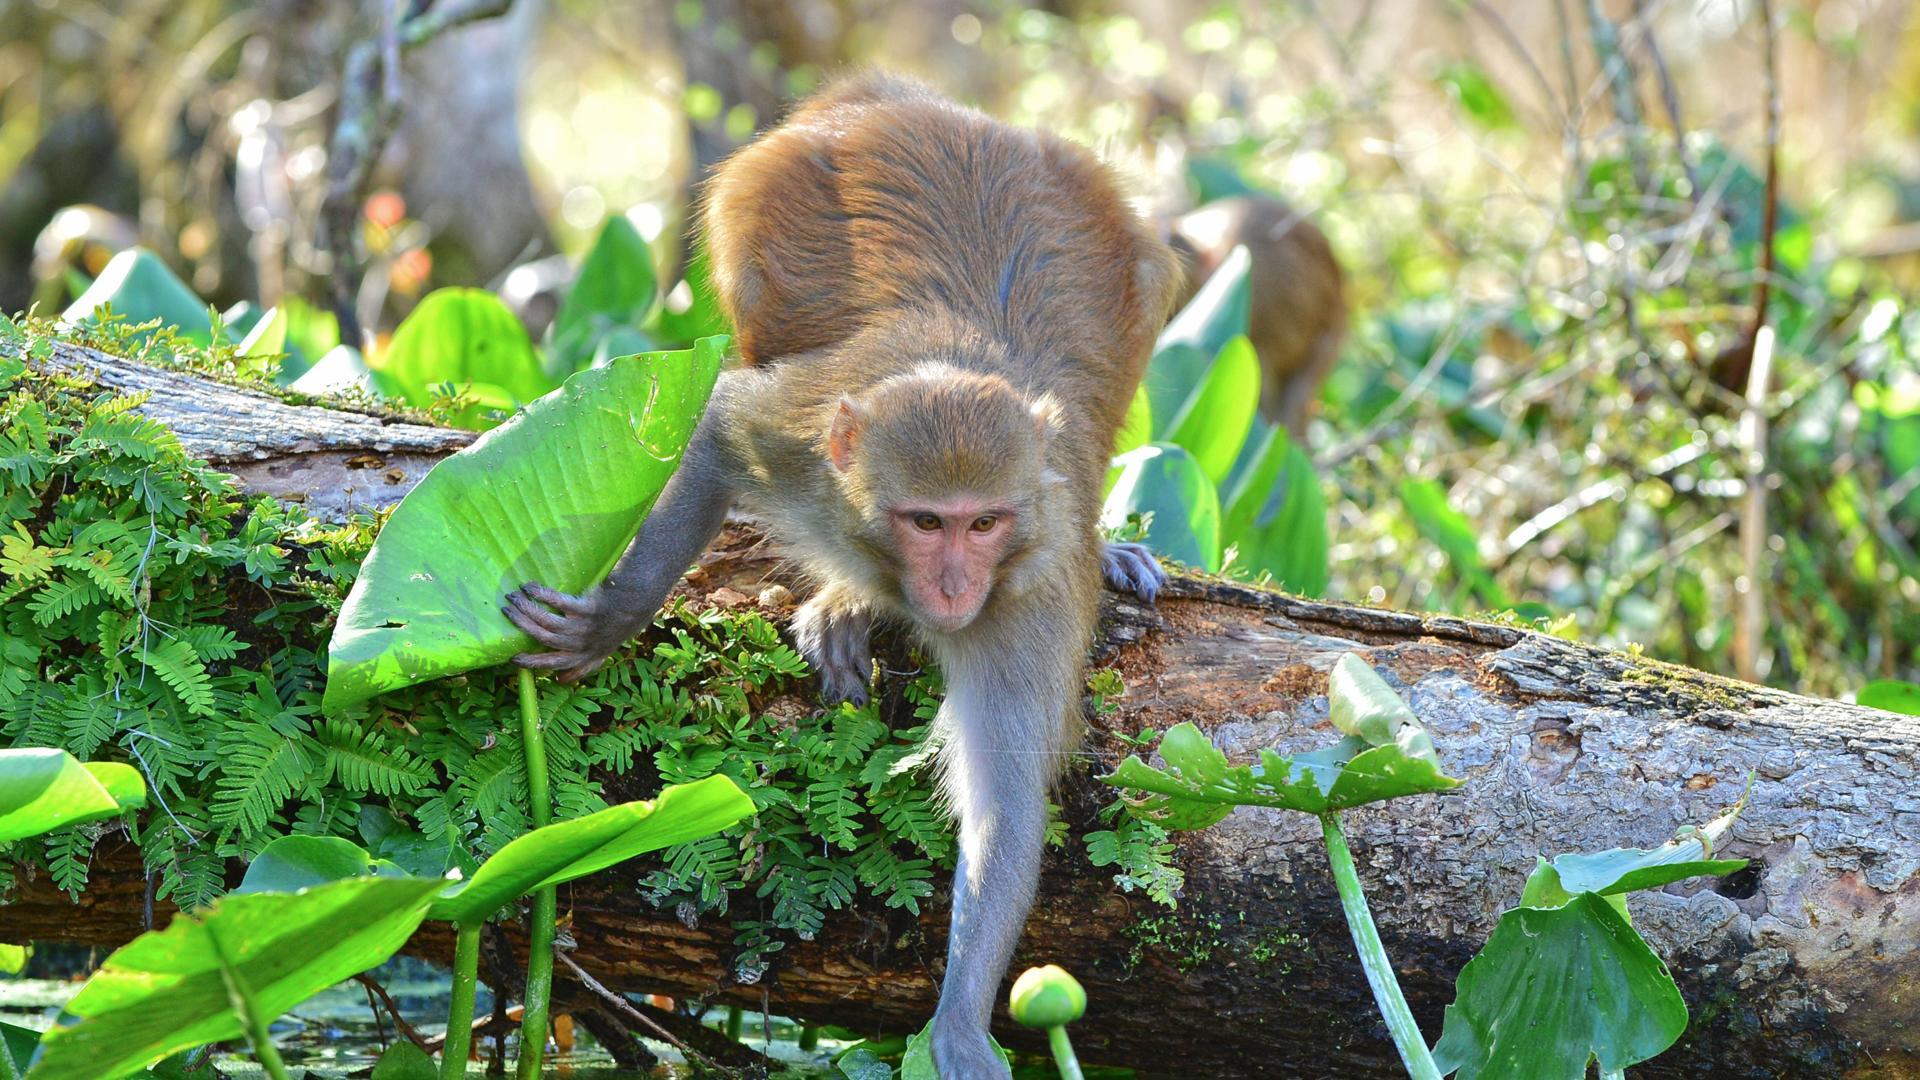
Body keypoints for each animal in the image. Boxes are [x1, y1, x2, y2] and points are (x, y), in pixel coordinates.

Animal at [503, 74, 1179, 1078]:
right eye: (927, 522)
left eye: (984, 523)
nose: (953, 588)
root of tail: (932, 107)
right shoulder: (797, 446)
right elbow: (719, 427)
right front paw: (610, 619)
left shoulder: (1030, 588)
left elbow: (1007, 805)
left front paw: (959, 1023)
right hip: (769, 194)